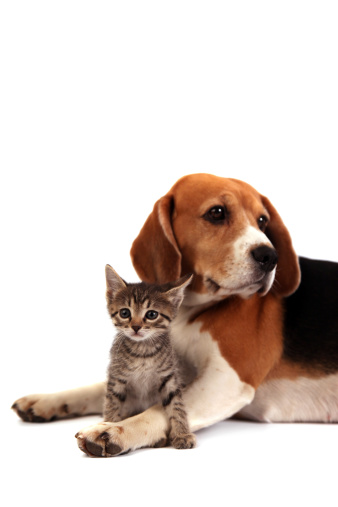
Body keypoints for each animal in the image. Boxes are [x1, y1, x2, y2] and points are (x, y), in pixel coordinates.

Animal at [104, 264, 197, 450]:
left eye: (151, 314)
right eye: (125, 313)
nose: (136, 327)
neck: (143, 352)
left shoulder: (170, 377)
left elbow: (177, 406)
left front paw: (182, 434)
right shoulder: (116, 377)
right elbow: (112, 403)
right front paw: (108, 424)